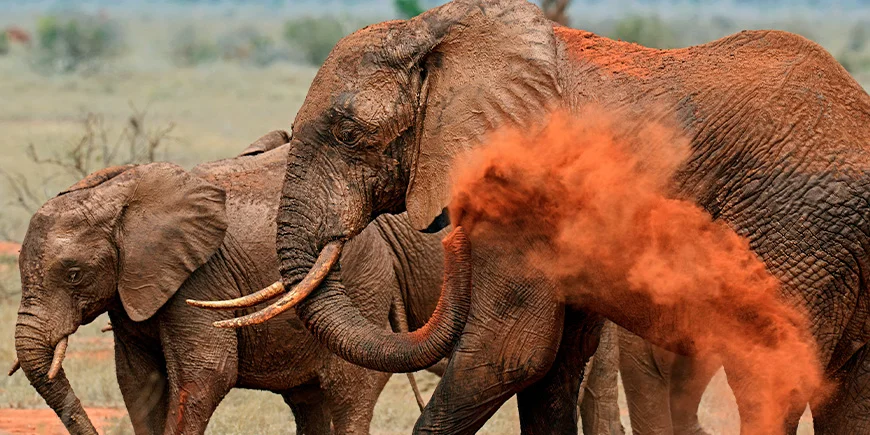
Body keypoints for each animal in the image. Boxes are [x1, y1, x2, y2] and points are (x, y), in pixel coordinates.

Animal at [10, 130, 464, 435]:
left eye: (73, 275)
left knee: (347, 391)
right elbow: (139, 382)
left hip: (362, 284)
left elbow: (206, 376)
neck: (118, 197)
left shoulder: (198, 280)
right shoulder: (129, 291)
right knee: (310, 400)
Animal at [197, 0, 870, 433]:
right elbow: (551, 367)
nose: (448, 232)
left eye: (348, 133)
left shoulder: (519, 189)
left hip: (797, 238)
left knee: (769, 382)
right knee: (849, 400)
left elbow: (509, 353)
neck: (444, 32)